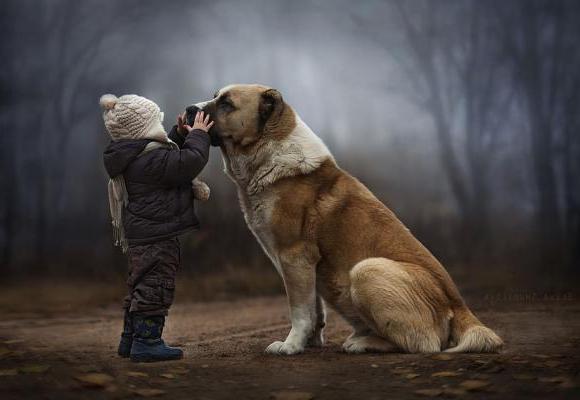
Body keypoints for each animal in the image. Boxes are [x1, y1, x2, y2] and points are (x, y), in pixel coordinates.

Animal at [187, 83, 502, 354]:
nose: (190, 109)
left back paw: (361, 343)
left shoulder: (294, 256)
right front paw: (309, 343)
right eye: (215, 96)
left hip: (366, 270)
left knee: (423, 344)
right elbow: (314, 309)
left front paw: (290, 346)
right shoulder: (304, 265)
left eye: (226, 104)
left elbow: (299, 310)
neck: (269, 152)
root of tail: (460, 306)